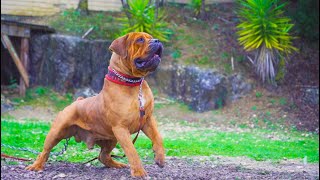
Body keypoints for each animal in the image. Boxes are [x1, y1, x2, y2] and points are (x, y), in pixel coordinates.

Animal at [26, 32, 165, 177]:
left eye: (151, 37)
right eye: (140, 40)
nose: (157, 40)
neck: (134, 84)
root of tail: (77, 101)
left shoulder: (147, 120)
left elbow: (158, 138)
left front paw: (160, 157)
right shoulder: (121, 128)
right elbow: (132, 151)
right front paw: (139, 171)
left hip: (111, 138)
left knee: (103, 156)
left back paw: (117, 165)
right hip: (56, 133)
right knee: (45, 152)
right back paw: (36, 166)